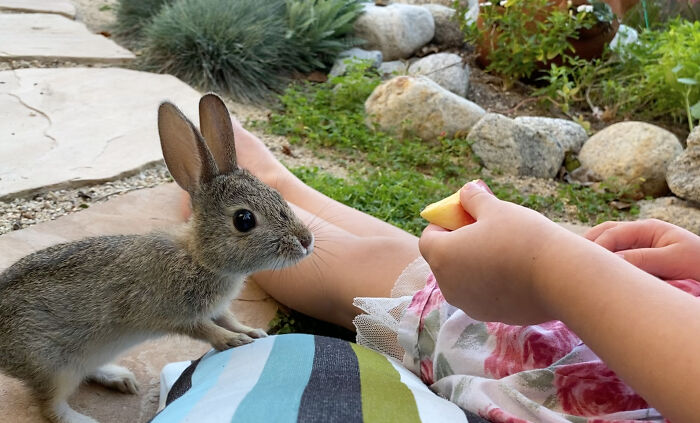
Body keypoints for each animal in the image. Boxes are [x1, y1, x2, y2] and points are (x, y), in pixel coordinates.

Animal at [0, 93, 314, 423]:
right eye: (244, 220)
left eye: (278, 195)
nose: (306, 241)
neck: (199, 258)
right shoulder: (173, 313)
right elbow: (205, 330)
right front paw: (234, 342)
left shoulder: (217, 308)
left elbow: (229, 319)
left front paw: (252, 331)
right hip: (51, 365)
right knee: (51, 407)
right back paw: (85, 418)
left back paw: (119, 378)